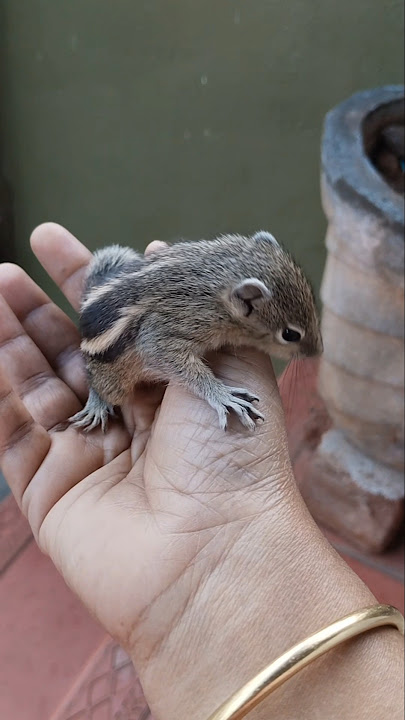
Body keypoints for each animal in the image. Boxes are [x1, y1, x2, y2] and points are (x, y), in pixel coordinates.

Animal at [70, 231, 323, 432]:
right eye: (290, 334)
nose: (319, 352)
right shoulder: (170, 328)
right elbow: (162, 354)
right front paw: (222, 395)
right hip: (113, 378)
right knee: (98, 384)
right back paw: (97, 404)